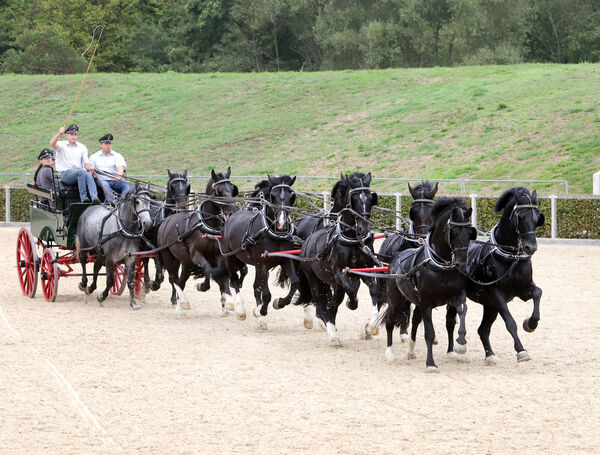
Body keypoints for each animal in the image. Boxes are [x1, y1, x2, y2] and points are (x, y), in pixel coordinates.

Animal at [158, 168, 245, 318]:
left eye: (231, 188)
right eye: (218, 191)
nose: (232, 211)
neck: (207, 226)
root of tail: (167, 220)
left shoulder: (218, 256)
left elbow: (221, 275)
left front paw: (226, 301)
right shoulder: (196, 255)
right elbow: (209, 270)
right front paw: (203, 286)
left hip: (186, 262)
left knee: (181, 281)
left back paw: (181, 305)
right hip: (169, 258)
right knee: (174, 279)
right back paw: (181, 302)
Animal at [221, 175, 300, 332]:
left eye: (291, 196)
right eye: (273, 196)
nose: (281, 224)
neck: (273, 233)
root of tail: (232, 216)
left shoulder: (286, 260)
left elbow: (294, 283)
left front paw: (279, 303)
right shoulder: (261, 264)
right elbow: (267, 294)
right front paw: (262, 311)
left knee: (254, 286)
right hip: (230, 257)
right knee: (235, 280)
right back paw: (241, 310)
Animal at [296, 173, 380, 348]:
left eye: (370, 198)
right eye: (353, 199)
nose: (363, 229)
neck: (352, 240)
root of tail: (307, 242)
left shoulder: (365, 271)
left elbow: (374, 291)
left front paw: (371, 326)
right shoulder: (338, 272)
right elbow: (351, 291)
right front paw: (352, 303)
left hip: (333, 283)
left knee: (333, 304)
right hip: (314, 279)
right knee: (321, 305)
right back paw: (332, 335)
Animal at [382, 198, 476, 372]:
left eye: (469, 233)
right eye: (452, 232)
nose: (461, 264)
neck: (440, 265)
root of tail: (396, 257)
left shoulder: (457, 295)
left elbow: (462, 312)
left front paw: (460, 344)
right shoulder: (427, 303)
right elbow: (429, 333)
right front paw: (431, 364)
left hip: (416, 302)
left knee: (414, 322)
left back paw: (411, 351)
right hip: (396, 300)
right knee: (390, 321)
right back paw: (389, 353)